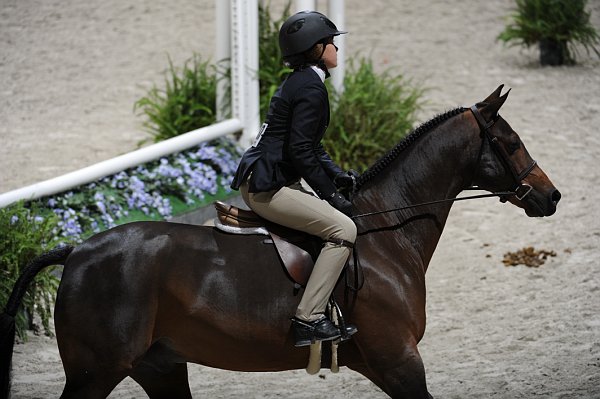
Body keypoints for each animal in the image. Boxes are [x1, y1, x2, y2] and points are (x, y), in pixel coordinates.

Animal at [1, 86, 564, 398]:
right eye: (511, 143)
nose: (551, 195)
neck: (387, 237)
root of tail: (76, 251)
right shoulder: (399, 360)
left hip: (161, 368)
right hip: (95, 373)